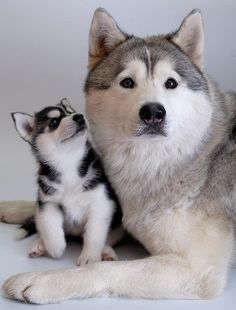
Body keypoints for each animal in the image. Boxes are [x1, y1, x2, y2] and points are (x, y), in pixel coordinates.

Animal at [10, 100, 122, 266]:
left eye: (71, 112)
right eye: (54, 122)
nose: (79, 116)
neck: (68, 162)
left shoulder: (101, 203)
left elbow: (93, 234)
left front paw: (89, 257)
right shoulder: (48, 202)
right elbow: (49, 225)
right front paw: (55, 246)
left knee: (106, 238)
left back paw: (107, 251)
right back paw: (40, 244)